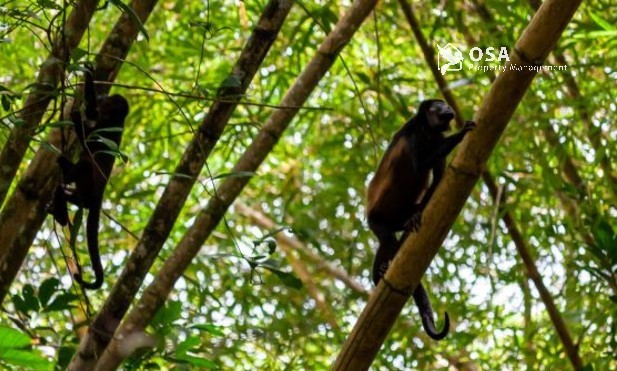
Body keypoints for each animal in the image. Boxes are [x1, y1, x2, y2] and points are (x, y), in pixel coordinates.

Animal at [51, 64, 130, 290]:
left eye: (108, 99)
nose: (103, 95)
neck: (115, 119)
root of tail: (98, 198)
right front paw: (89, 73)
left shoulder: (106, 128)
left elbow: (87, 135)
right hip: (81, 196)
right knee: (64, 191)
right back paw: (58, 208)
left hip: (87, 190)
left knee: (84, 164)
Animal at [366, 98, 476, 340]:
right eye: (439, 105)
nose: (448, 107)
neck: (428, 130)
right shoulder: (413, 135)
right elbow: (421, 164)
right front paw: (461, 134)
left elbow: (439, 179)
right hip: (375, 220)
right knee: (388, 240)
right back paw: (381, 274)